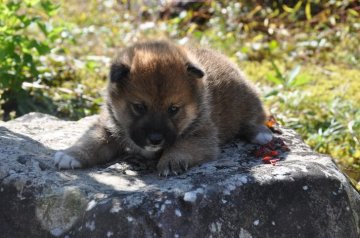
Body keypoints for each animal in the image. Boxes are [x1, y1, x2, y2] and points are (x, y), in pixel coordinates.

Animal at [54, 40, 272, 176]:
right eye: (139, 107)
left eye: (173, 109)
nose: (155, 139)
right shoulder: (108, 126)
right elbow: (91, 141)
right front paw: (70, 155)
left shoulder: (201, 136)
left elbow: (182, 145)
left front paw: (171, 161)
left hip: (249, 99)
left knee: (256, 118)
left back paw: (261, 134)